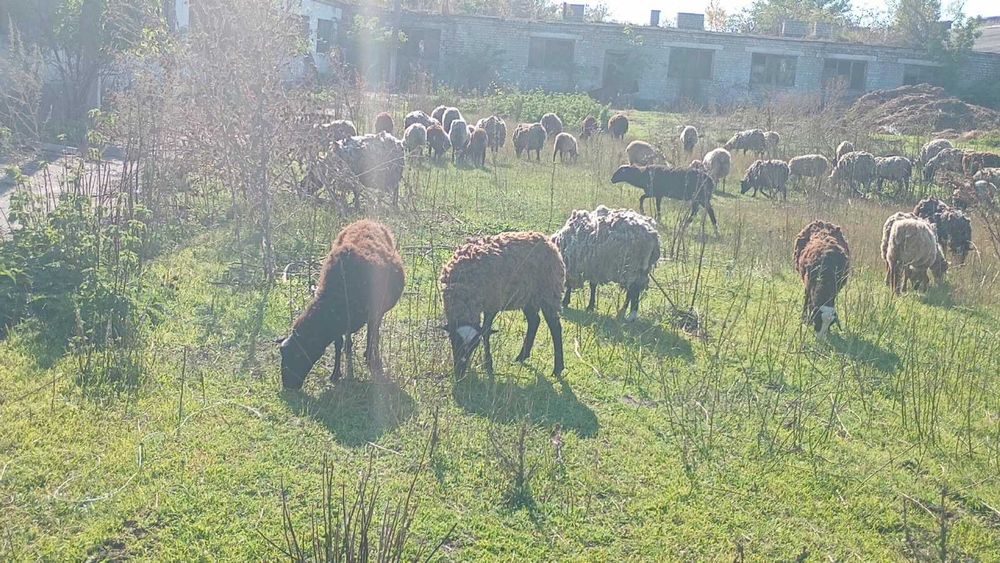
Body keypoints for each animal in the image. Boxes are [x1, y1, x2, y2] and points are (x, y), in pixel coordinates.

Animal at [278, 220, 405, 389]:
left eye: (298, 355)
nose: (288, 386)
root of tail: (368, 220)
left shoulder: (372, 313)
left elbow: (371, 336)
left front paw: (371, 361)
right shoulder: (337, 324)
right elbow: (338, 344)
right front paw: (336, 373)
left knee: (374, 332)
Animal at [439, 231, 565, 377]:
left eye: (474, 346)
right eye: (454, 341)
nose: (459, 372)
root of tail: (548, 241)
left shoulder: (492, 303)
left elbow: (486, 332)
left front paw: (488, 364)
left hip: (549, 291)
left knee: (555, 327)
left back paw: (558, 368)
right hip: (528, 296)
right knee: (534, 321)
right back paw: (522, 357)